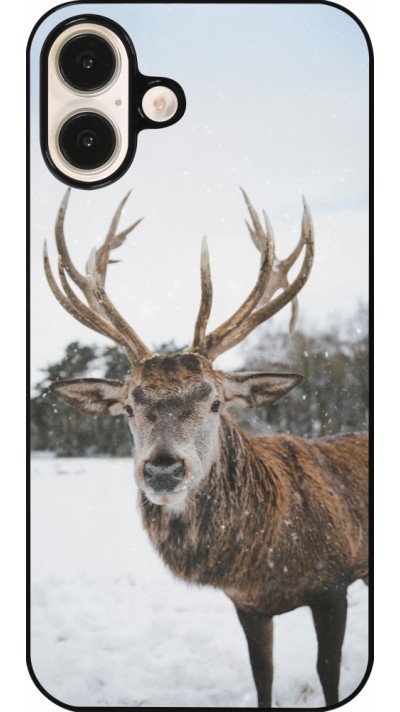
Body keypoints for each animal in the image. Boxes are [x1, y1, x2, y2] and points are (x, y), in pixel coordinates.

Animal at [43, 189, 368, 708]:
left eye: (215, 402)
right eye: (129, 406)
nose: (162, 470)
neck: (266, 558)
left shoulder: (334, 581)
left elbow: (328, 673)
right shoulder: (248, 604)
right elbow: (262, 675)